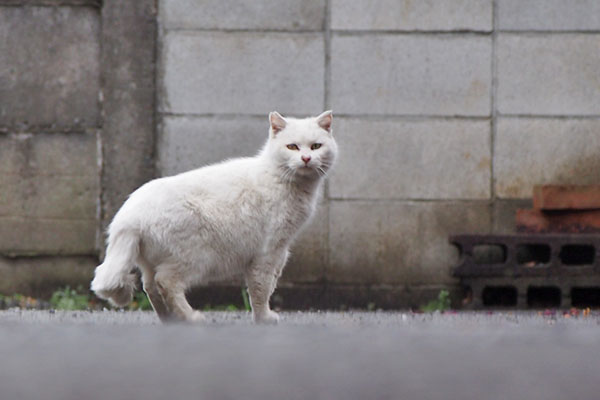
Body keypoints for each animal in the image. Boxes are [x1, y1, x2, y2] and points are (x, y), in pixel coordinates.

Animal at [91, 111, 336, 324]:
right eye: (292, 146)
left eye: (316, 146)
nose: (306, 158)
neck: (282, 178)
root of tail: (127, 217)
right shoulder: (268, 252)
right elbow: (262, 288)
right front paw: (264, 318)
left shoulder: (280, 252)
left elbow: (268, 285)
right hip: (194, 257)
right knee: (166, 283)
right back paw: (192, 318)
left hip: (153, 262)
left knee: (150, 287)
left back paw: (171, 320)